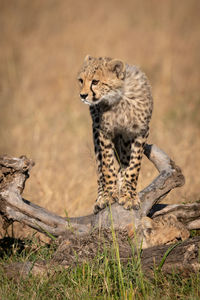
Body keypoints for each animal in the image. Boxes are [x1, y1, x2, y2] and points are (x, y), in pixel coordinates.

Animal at [77, 55, 152, 213]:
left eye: (95, 81)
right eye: (81, 80)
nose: (83, 95)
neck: (119, 97)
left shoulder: (140, 131)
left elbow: (133, 166)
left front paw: (129, 196)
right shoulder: (104, 132)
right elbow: (107, 164)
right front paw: (108, 195)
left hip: (125, 139)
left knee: (124, 161)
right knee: (100, 169)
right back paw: (102, 196)